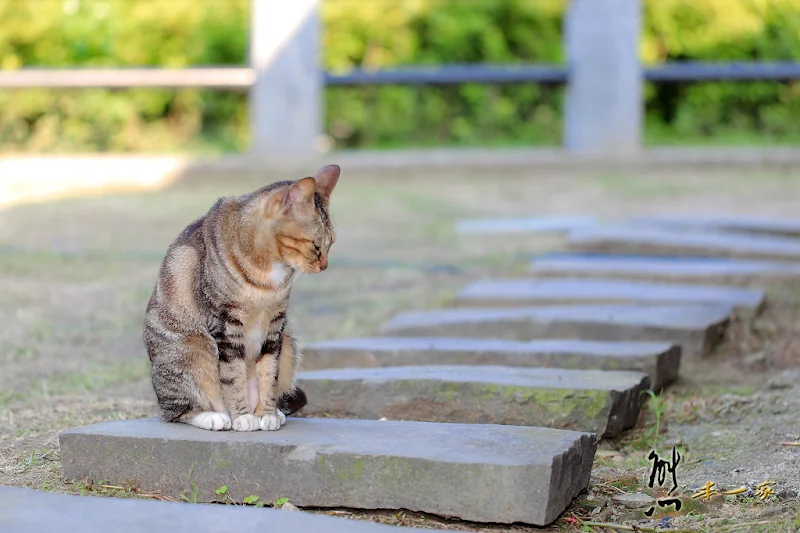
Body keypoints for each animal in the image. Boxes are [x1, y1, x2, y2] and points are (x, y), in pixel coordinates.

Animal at [142, 164, 340, 430]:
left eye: (331, 244)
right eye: (316, 246)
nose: (325, 265)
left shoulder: (275, 324)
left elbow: (269, 372)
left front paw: (266, 414)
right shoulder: (225, 324)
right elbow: (232, 375)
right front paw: (243, 416)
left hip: (289, 343)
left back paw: (274, 412)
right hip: (192, 349)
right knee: (178, 412)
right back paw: (215, 417)